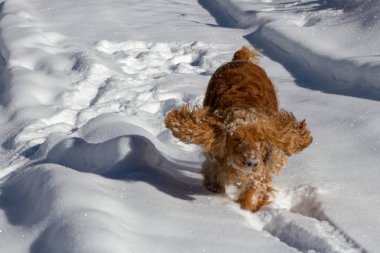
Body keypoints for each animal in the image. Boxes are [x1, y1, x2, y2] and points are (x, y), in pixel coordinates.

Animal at [166, 47, 312, 211]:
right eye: (236, 139)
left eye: (260, 138)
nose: (252, 162)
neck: (244, 105)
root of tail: (241, 59)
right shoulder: (216, 160)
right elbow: (214, 178)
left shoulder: (262, 167)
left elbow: (254, 190)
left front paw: (248, 207)